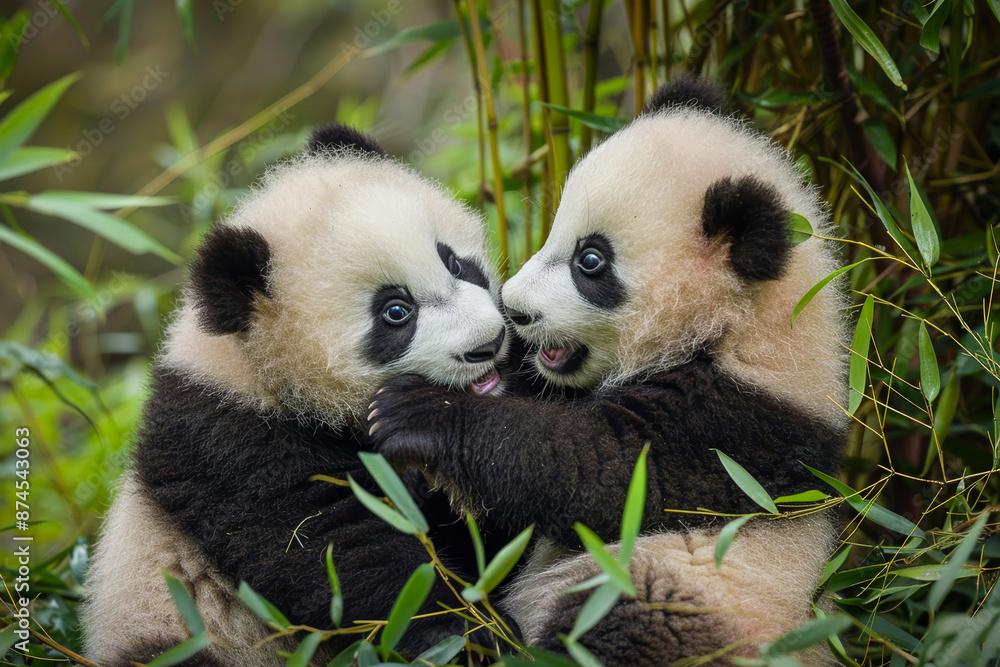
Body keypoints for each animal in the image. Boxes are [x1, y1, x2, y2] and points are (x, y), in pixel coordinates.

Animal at [81, 124, 509, 666]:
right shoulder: (232, 445)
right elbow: (330, 546)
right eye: (395, 312)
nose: (489, 342)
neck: (256, 370)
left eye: (454, 262)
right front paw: (468, 633)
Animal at [367, 78, 848, 665]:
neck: (746, 324)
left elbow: (598, 467)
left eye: (590, 261)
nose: (515, 310)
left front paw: (414, 412)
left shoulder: (734, 426)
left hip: (691, 600)